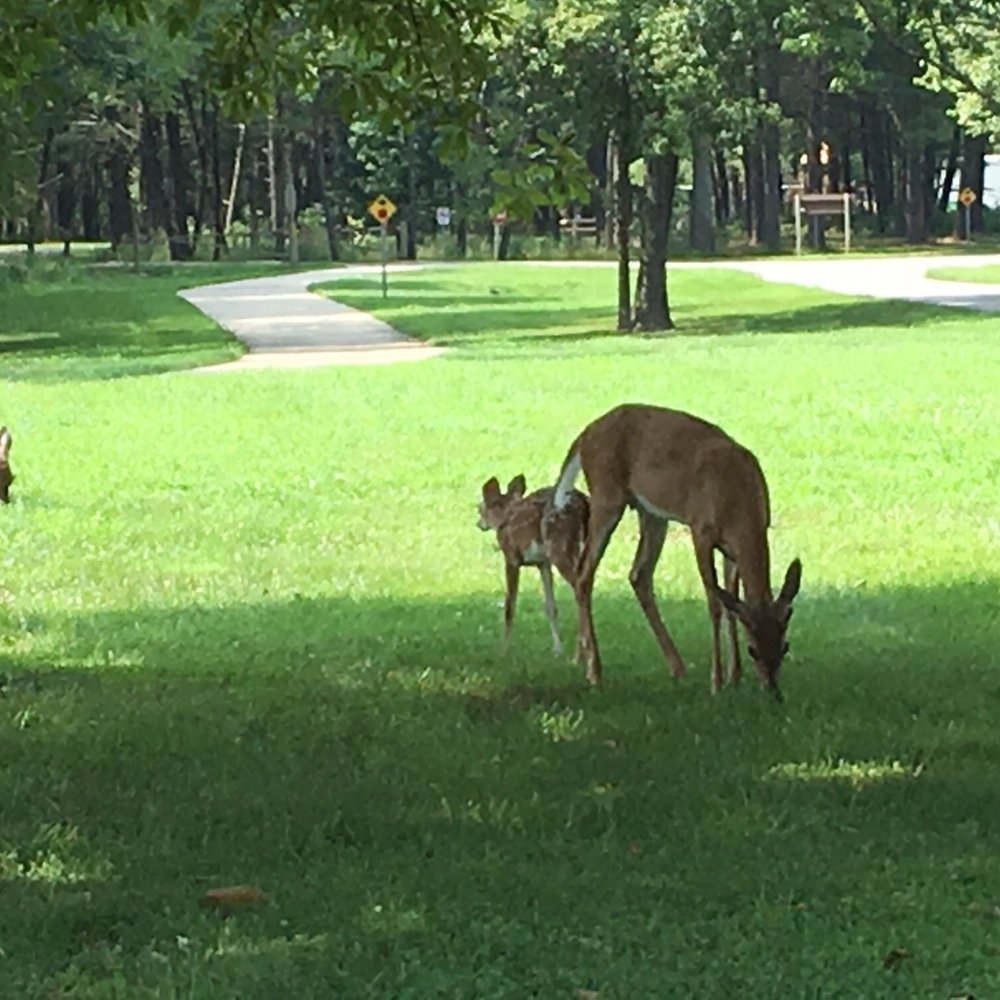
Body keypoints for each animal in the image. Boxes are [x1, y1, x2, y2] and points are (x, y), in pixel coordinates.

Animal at [477, 474, 589, 657]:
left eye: (479, 509)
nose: (479, 524)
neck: (505, 518)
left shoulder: (512, 557)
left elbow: (510, 606)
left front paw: (503, 650)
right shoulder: (543, 563)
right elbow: (550, 606)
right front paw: (557, 649)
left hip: (561, 548)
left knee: (581, 589)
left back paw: (579, 655)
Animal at [550, 403, 801, 699]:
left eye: (785, 646)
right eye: (753, 651)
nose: (773, 690)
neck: (737, 501)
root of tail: (585, 434)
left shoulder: (734, 548)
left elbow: (732, 602)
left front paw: (735, 677)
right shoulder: (701, 530)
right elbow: (715, 602)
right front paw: (717, 682)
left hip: (652, 513)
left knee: (638, 574)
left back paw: (676, 667)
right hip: (606, 495)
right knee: (583, 574)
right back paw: (594, 673)